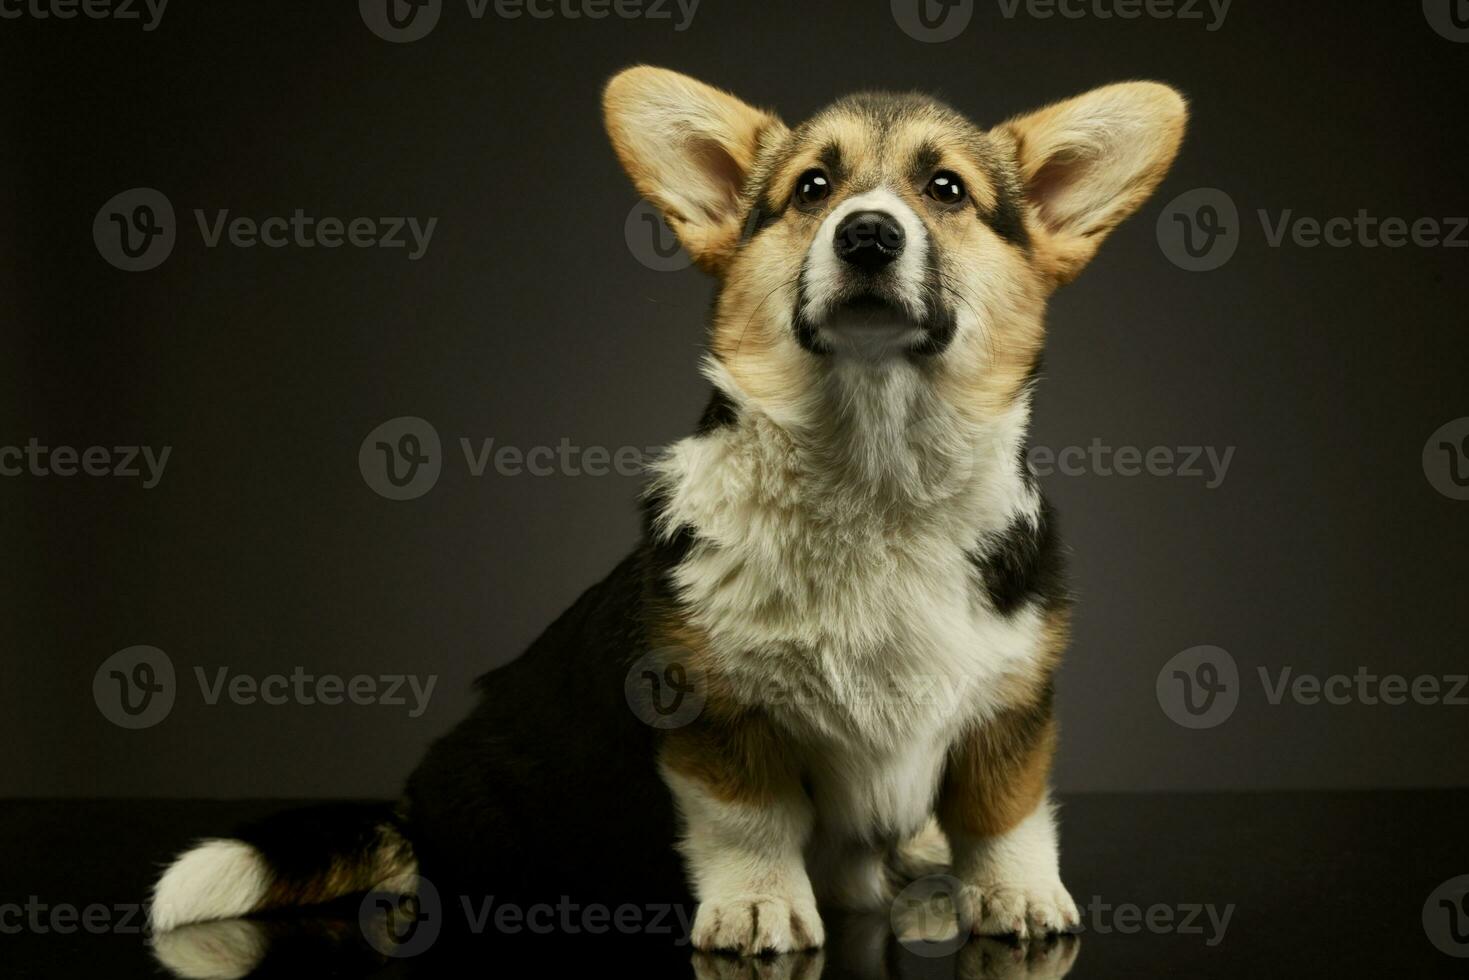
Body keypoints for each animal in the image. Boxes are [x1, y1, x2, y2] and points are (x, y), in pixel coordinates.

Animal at [149, 67, 1181, 957]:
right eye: (811, 189)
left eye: (946, 189)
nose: (866, 237)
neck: (874, 475)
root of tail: (414, 810)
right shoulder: (709, 712)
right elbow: (750, 823)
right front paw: (758, 909)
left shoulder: (1008, 705)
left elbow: (1003, 814)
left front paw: (1016, 894)